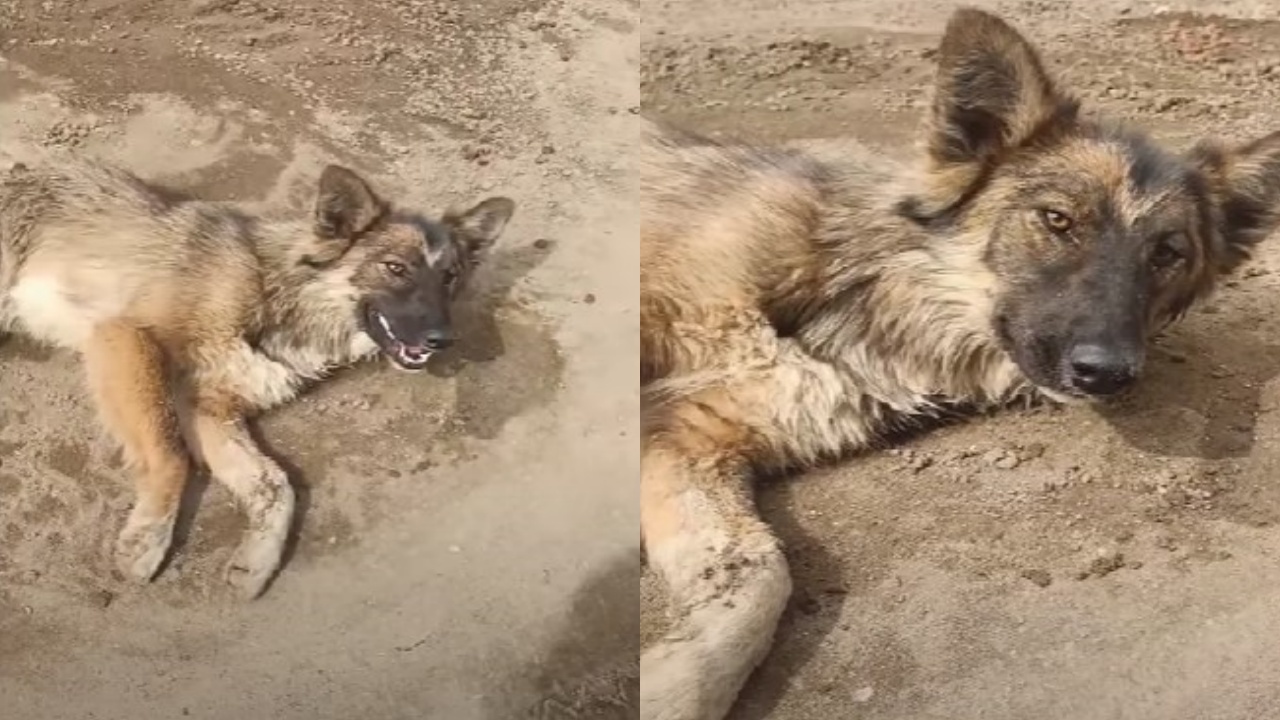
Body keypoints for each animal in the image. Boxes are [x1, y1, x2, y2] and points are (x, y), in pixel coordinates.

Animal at [3, 155, 514, 594]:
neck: (277, 294)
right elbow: (172, 455)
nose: (443, 340)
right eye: (395, 268)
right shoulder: (126, 336)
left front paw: (256, 563)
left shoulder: (207, 408)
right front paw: (147, 541)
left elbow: (276, 485)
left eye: (449, 278)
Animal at [640, 7, 1280, 717]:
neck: (859, 295)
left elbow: (757, 576)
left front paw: (674, 684)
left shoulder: (688, 440)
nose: (1108, 371)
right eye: (1057, 219)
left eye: (1168, 253)